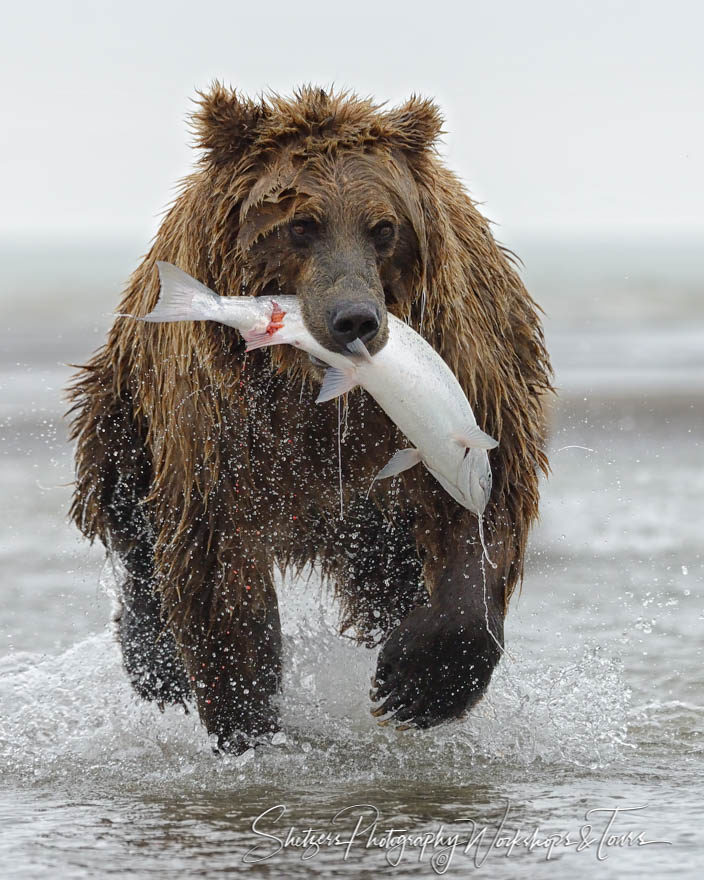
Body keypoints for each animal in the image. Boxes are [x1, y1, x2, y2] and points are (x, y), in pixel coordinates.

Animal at [69, 84, 552, 756]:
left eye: (383, 228)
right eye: (301, 224)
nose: (355, 319)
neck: (314, 394)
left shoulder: (471, 369)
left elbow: (484, 515)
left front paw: (417, 685)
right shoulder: (224, 422)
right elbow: (219, 560)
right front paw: (246, 716)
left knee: (390, 577)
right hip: (127, 408)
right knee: (127, 510)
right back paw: (155, 662)